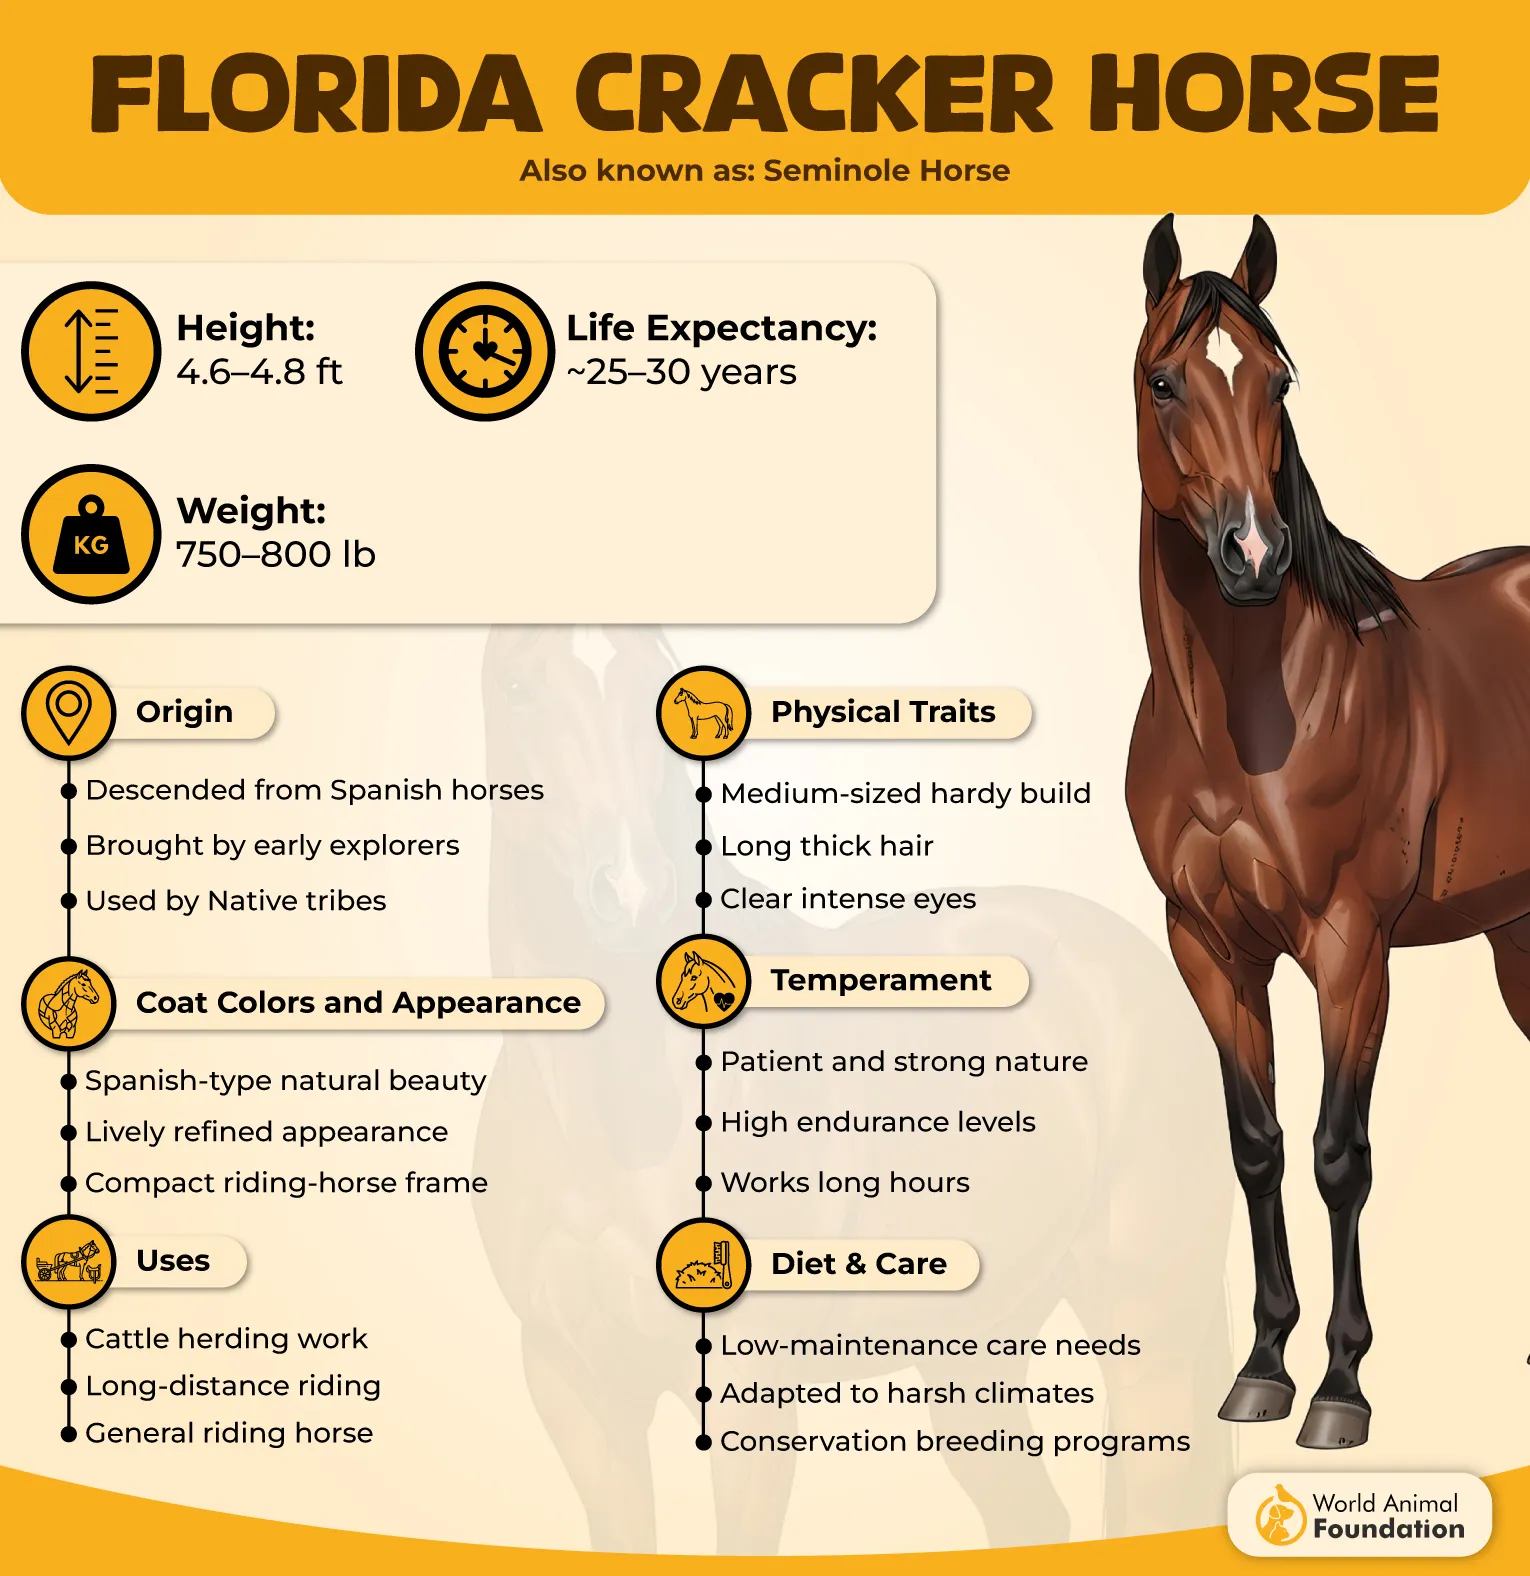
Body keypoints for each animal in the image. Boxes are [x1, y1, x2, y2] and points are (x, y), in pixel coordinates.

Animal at [1125, 212, 1530, 1450]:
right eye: (1165, 380)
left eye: (1279, 379)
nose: (1253, 558)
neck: (1244, 714)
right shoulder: (1209, 947)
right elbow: (1256, 1147)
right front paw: (1263, 1365)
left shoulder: (1351, 948)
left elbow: (1336, 1154)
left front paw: (1341, 1388)